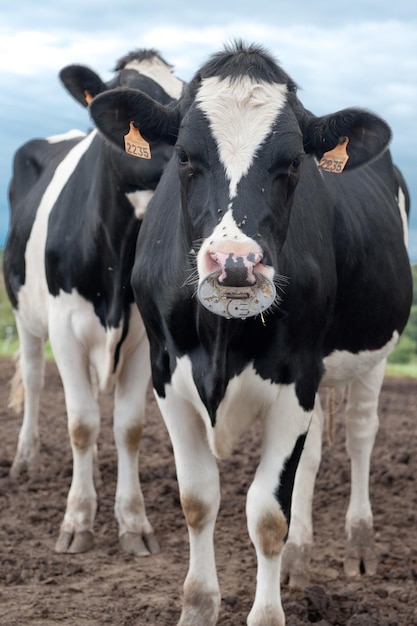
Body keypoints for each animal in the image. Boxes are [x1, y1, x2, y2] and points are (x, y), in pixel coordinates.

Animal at [2, 50, 182, 556]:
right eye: (131, 109)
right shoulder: (64, 330)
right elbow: (81, 424)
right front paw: (78, 520)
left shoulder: (141, 338)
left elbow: (128, 427)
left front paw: (133, 522)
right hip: (26, 317)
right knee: (35, 379)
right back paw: (25, 461)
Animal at [89, 41, 412, 620]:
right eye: (183, 156)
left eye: (293, 163)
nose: (235, 264)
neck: (222, 339)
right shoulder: (167, 376)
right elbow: (198, 499)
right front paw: (197, 607)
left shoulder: (296, 380)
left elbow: (266, 515)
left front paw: (266, 614)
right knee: (314, 456)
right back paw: (299, 562)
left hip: (372, 351)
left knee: (360, 435)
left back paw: (359, 546)